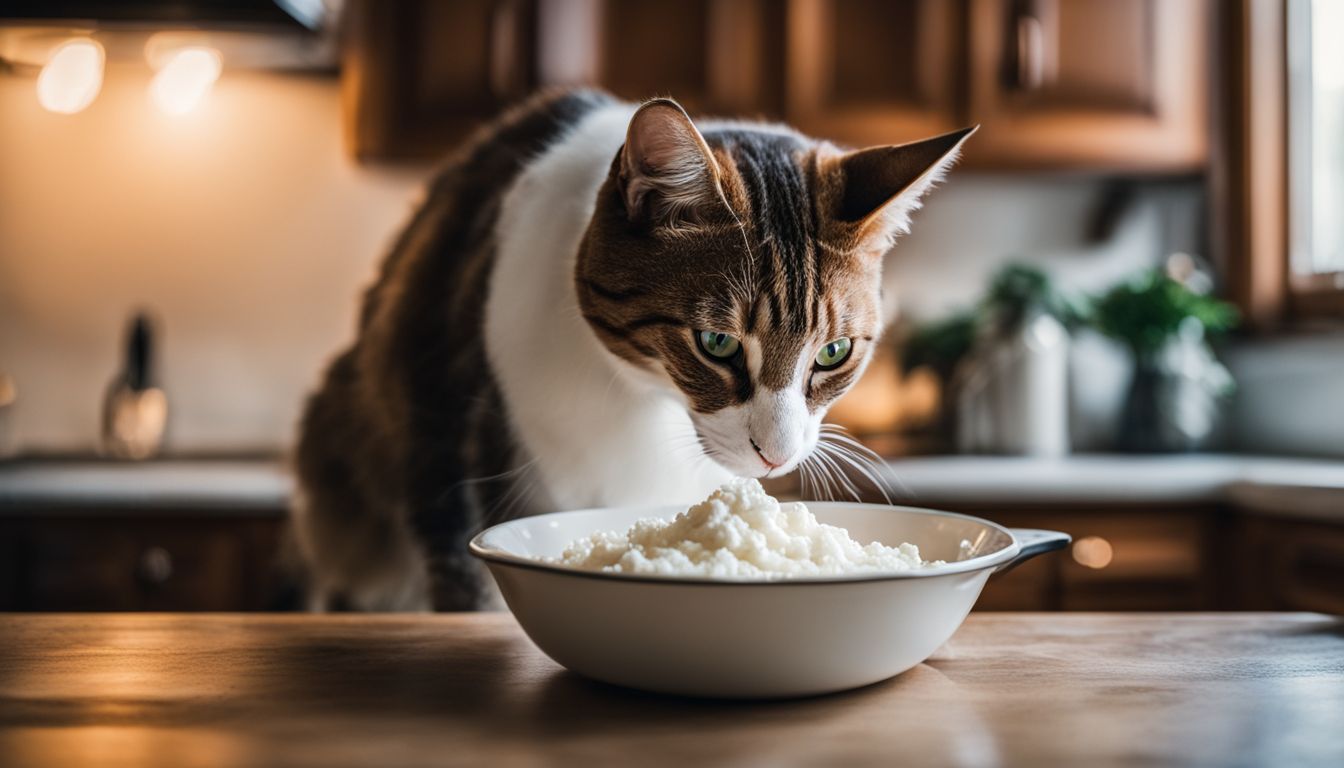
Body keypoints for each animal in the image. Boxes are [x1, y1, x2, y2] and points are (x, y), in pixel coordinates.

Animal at [294, 87, 973, 610]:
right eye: (717, 342)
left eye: (833, 352)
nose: (776, 458)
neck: (642, 400)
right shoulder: (439, 427)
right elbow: (469, 583)